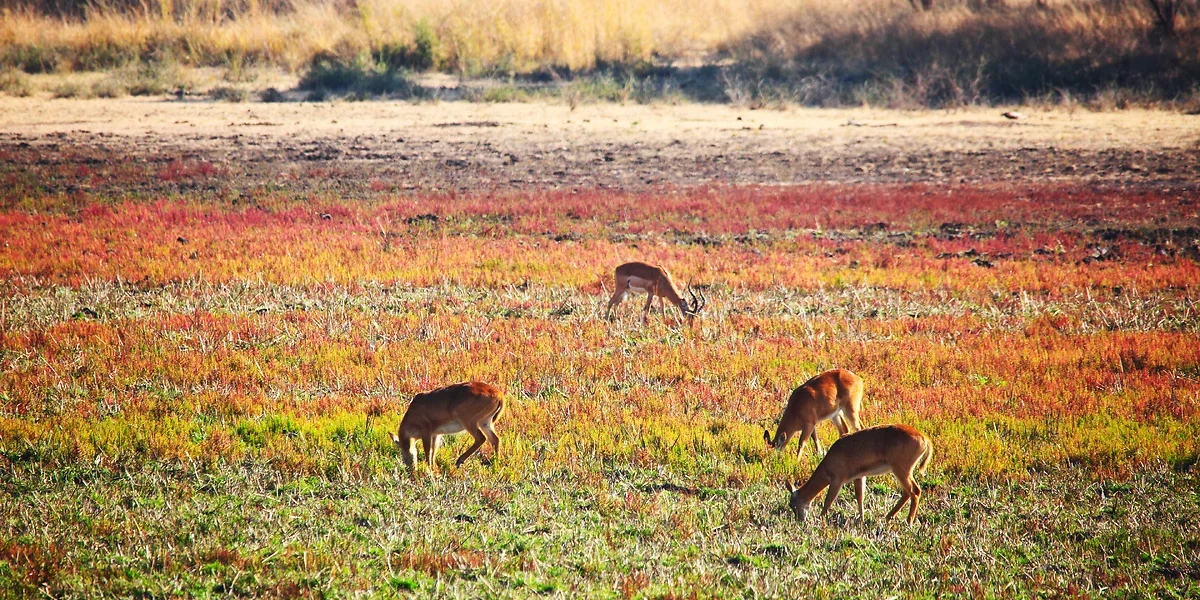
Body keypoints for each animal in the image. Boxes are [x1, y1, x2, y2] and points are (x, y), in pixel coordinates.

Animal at [785, 424, 933, 524]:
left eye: (792, 504)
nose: (800, 520)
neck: (828, 464)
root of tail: (925, 439)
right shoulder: (859, 477)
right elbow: (860, 497)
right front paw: (861, 519)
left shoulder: (837, 480)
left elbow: (828, 500)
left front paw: (821, 518)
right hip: (901, 471)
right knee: (907, 492)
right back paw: (888, 517)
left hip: (901, 470)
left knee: (915, 491)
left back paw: (908, 521)